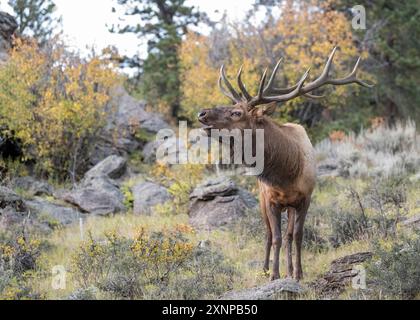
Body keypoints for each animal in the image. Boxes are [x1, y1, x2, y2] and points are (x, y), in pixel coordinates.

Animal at [199, 47, 372, 280]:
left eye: (237, 112)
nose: (202, 113)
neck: (286, 173)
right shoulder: (271, 200)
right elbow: (276, 237)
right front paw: (274, 274)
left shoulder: (305, 198)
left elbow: (296, 235)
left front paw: (297, 273)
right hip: (262, 199)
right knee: (268, 233)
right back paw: (264, 269)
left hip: (289, 206)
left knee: (289, 234)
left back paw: (290, 270)